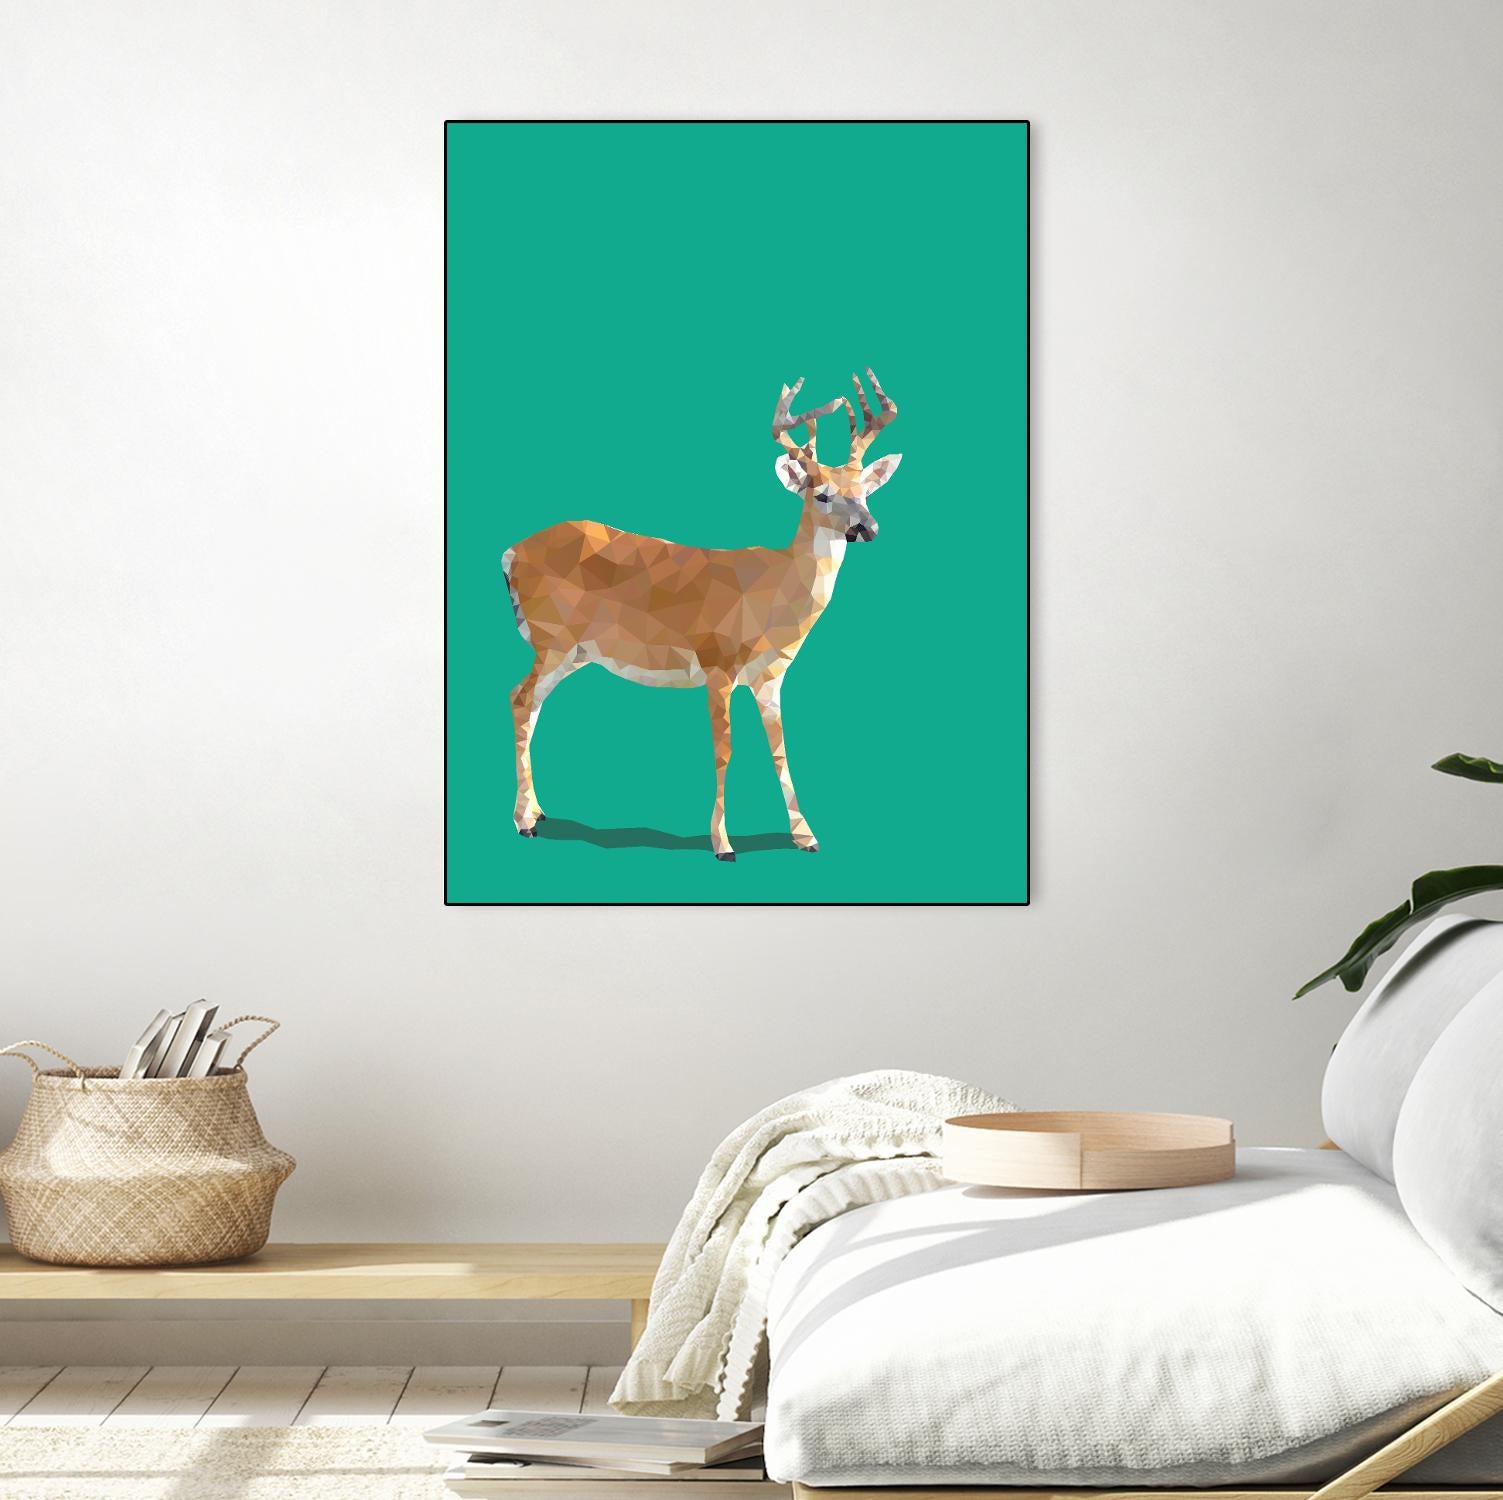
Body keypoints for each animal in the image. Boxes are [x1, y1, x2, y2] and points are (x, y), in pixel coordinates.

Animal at [501, 369, 901, 861]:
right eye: (823, 495)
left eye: (865, 492)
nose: (868, 528)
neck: (772, 597)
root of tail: (510, 553)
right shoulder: (718, 661)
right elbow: (724, 751)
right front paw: (723, 843)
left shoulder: (771, 677)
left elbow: (780, 749)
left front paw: (806, 835)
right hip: (552, 637)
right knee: (519, 699)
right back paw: (523, 821)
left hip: (573, 651)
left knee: (531, 703)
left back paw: (537, 812)